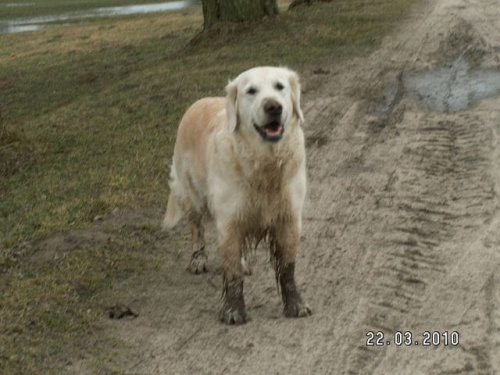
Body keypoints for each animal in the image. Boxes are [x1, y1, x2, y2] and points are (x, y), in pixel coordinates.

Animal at [164, 66, 310, 324]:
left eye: (280, 86)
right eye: (251, 91)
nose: (273, 107)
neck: (264, 163)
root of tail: (198, 102)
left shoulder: (289, 218)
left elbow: (287, 268)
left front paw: (295, 304)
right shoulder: (229, 218)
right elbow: (231, 271)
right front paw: (233, 310)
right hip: (192, 194)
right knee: (196, 227)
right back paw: (198, 259)